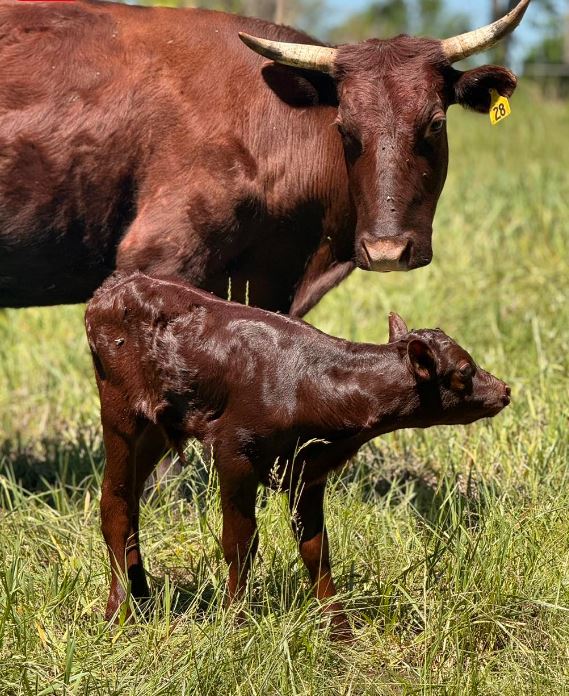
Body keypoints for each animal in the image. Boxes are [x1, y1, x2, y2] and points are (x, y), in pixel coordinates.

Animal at [85, 274, 510, 636]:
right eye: (464, 370)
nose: (505, 389)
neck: (312, 385)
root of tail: (111, 288)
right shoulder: (233, 452)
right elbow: (241, 541)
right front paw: (235, 622)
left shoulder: (309, 470)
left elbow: (316, 548)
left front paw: (340, 631)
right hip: (120, 410)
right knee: (115, 503)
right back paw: (120, 613)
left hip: (157, 427)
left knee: (133, 501)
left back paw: (141, 597)